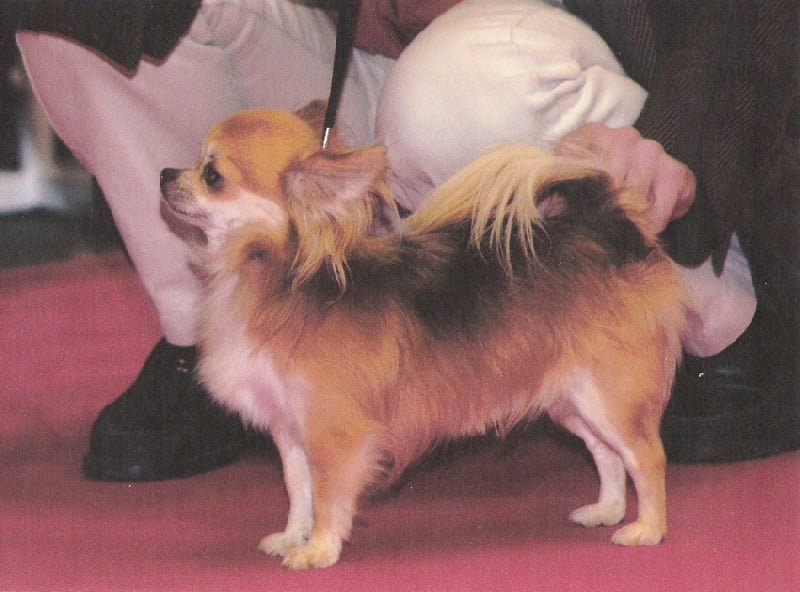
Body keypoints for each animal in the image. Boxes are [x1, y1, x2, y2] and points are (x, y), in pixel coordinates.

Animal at [160, 101, 687, 569]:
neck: (273, 276)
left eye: (212, 175)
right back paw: (608, 510)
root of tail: (613, 233)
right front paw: (293, 537)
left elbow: (328, 496)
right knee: (608, 455)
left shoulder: (335, 434)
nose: (165, 173)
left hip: (608, 397)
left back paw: (647, 528)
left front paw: (318, 550)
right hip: (572, 401)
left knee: (646, 456)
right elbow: (299, 491)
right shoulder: (291, 431)